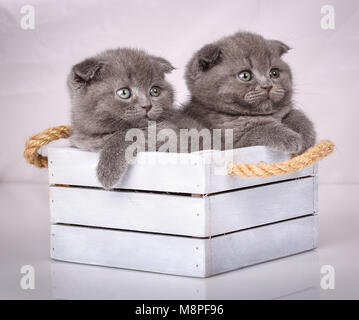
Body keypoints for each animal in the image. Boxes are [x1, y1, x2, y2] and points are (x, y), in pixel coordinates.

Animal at [184, 31, 316, 155]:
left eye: (274, 73)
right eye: (245, 75)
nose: (267, 86)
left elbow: (296, 114)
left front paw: (306, 136)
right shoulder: (231, 143)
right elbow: (258, 130)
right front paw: (290, 138)